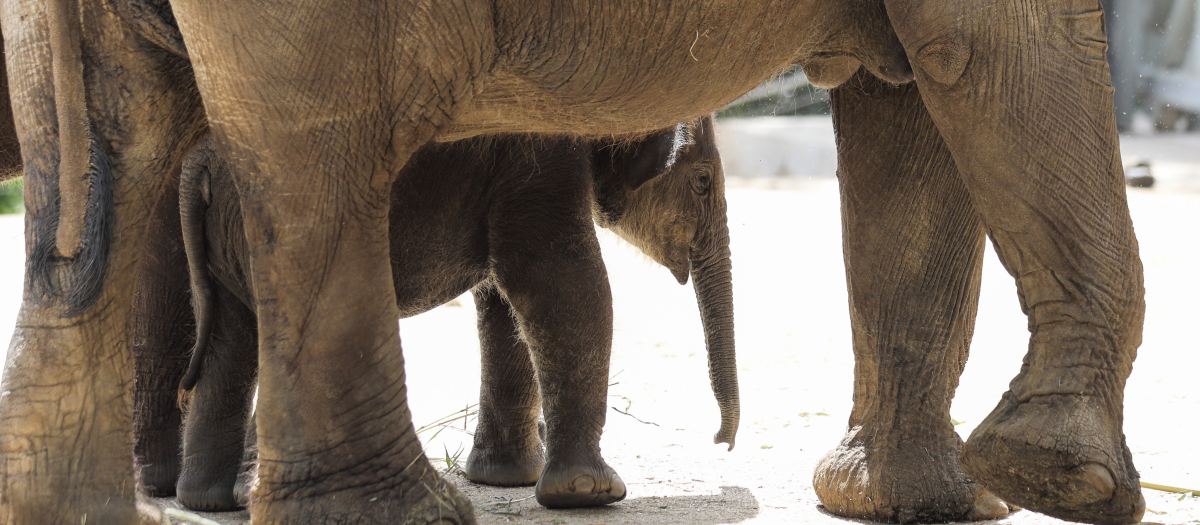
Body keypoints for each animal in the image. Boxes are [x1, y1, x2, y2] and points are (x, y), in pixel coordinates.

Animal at [129, 116, 729, 510]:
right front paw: (591, 493)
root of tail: (199, 165)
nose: (722, 442)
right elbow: (558, 282)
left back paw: (207, 501)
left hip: (226, 236)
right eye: (702, 181)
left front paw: (508, 479)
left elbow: (503, 306)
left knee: (231, 340)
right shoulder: (537, 161)